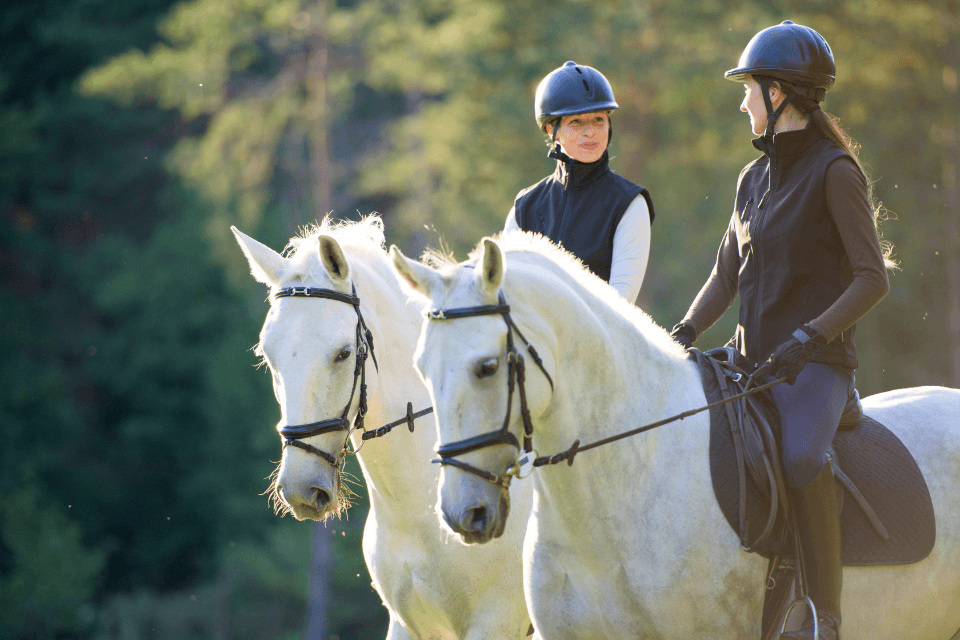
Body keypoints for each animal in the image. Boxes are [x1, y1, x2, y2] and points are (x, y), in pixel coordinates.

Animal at [232, 217, 534, 640]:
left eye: (344, 353)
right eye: (266, 355)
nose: (299, 490)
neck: (417, 510)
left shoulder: (496, 622)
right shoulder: (406, 624)